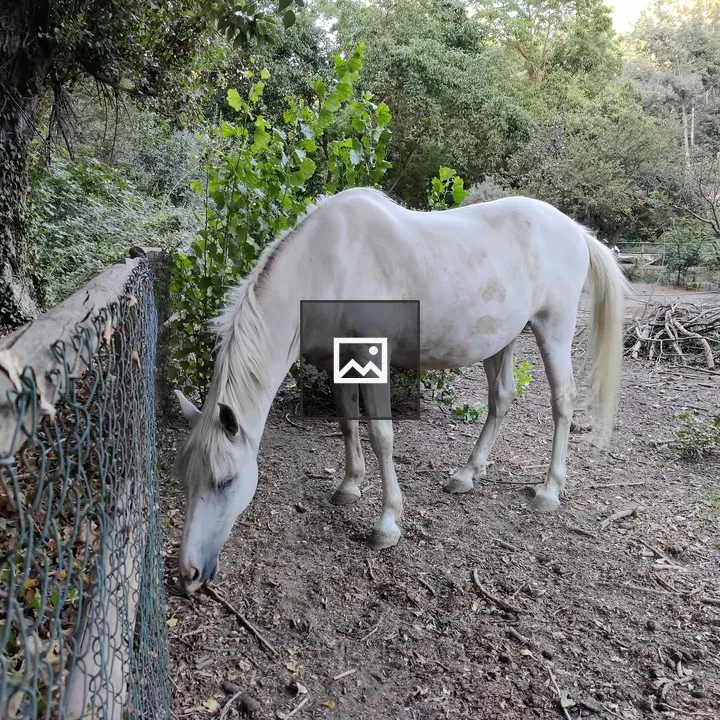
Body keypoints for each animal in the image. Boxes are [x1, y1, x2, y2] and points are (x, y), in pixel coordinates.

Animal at [172, 187, 630, 594]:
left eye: (226, 481)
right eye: (185, 477)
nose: (189, 574)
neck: (330, 263)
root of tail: (575, 230)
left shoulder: (373, 360)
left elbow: (381, 435)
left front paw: (387, 524)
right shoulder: (340, 363)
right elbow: (347, 424)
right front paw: (349, 486)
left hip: (553, 329)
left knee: (562, 401)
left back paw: (549, 491)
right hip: (501, 340)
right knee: (500, 399)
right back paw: (467, 474)